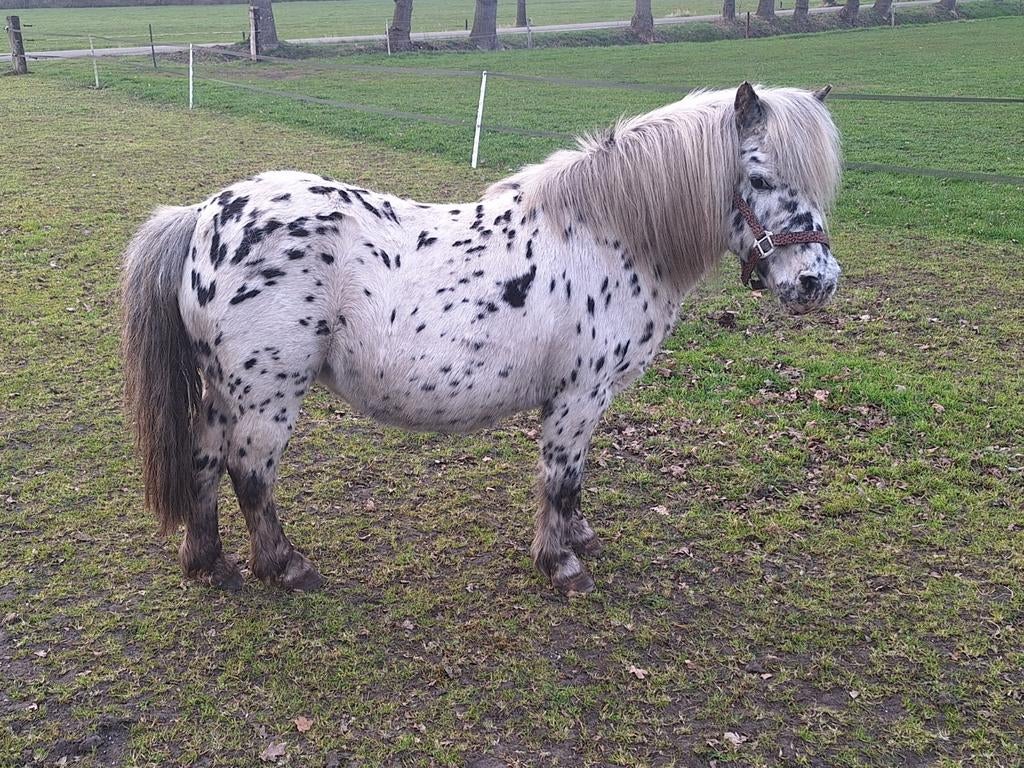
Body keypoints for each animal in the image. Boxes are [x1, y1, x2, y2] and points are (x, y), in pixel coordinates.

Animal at [121, 82, 842, 596]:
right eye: (760, 178)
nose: (818, 281)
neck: (608, 234)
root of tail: (204, 215)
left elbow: (574, 481)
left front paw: (579, 538)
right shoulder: (580, 395)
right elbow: (560, 478)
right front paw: (562, 565)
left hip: (226, 390)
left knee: (203, 459)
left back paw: (208, 563)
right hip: (267, 393)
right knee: (249, 472)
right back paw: (284, 566)